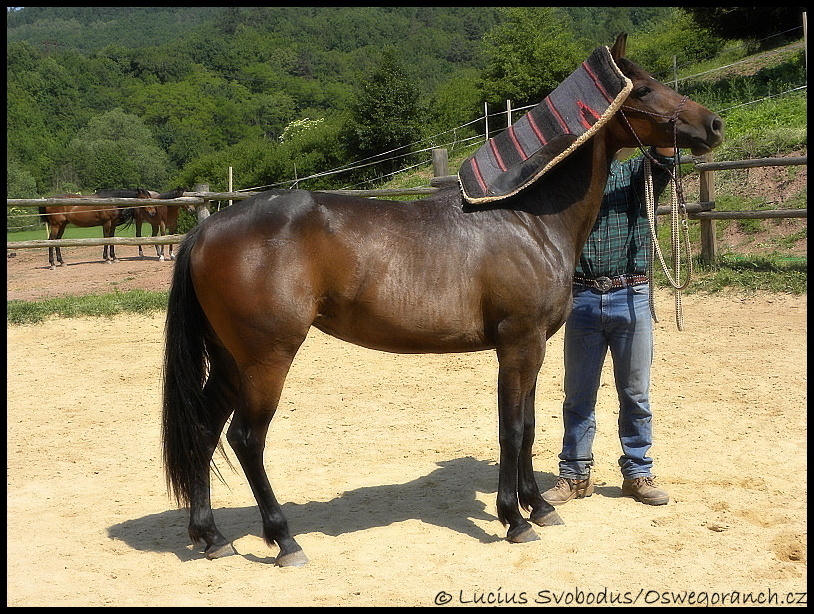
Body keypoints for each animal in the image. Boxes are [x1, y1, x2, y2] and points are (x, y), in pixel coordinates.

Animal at [163, 36, 724, 572]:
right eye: (644, 88)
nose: (713, 123)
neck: (528, 219)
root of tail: (206, 228)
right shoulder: (518, 345)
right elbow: (511, 429)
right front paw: (513, 519)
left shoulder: (534, 349)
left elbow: (528, 427)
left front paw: (540, 507)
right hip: (267, 359)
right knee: (246, 439)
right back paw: (284, 541)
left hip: (232, 360)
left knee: (204, 429)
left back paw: (212, 538)